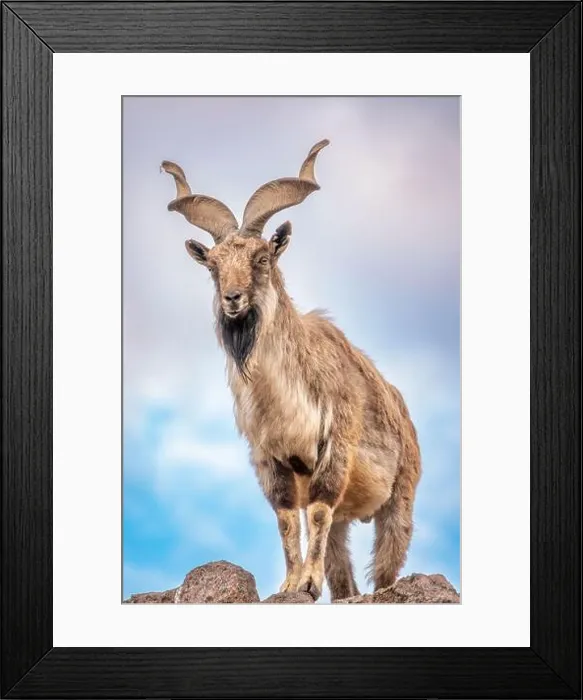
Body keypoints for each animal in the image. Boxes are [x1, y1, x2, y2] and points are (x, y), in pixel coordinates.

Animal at [161, 140, 421, 600]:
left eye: (262, 257)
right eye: (212, 265)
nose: (233, 299)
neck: (287, 398)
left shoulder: (335, 446)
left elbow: (314, 510)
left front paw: (308, 582)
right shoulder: (270, 459)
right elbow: (286, 519)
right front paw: (291, 582)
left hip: (399, 499)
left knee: (386, 567)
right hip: (348, 518)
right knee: (344, 573)